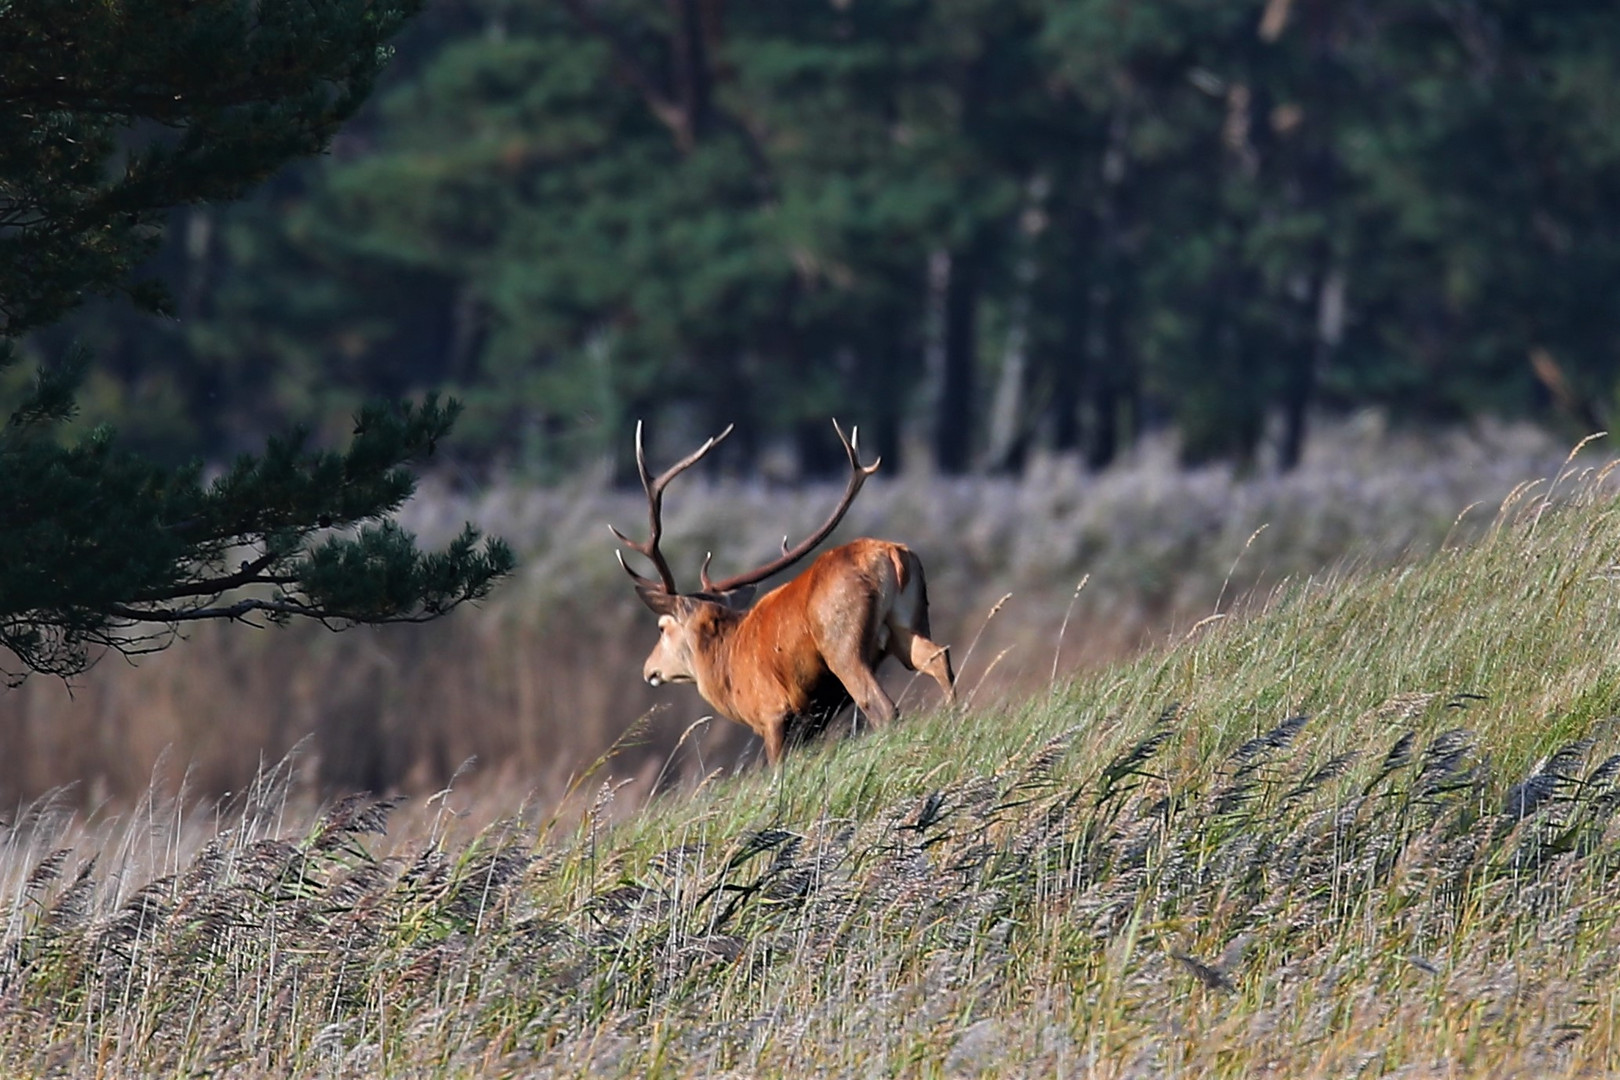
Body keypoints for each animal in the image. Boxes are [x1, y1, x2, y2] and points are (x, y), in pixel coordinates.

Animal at [612, 417, 952, 764]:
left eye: (662, 627)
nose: (649, 670)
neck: (727, 668)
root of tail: (892, 556)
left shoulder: (772, 711)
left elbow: (777, 765)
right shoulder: (811, 720)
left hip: (843, 646)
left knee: (884, 708)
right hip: (908, 625)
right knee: (938, 658)